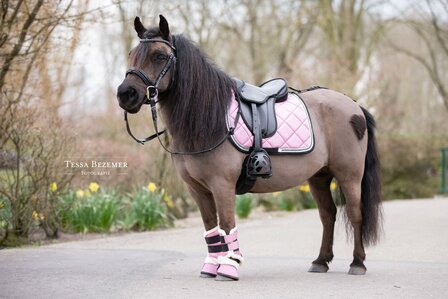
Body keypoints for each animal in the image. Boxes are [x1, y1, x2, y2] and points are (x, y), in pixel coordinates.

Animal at [116, 14, 382, 282]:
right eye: (131, 54)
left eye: (159, 55)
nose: (126, 94)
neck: (210, 119)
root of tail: (354, 106)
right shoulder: (197, 190)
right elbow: (211, 229)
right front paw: (210, 268)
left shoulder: (222, 185)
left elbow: (226, 225)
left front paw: (229, 268)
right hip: (319, 177)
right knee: (328, 215)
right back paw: (320, 261)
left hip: (349, 175)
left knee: (355, 214)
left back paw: (357, 263)